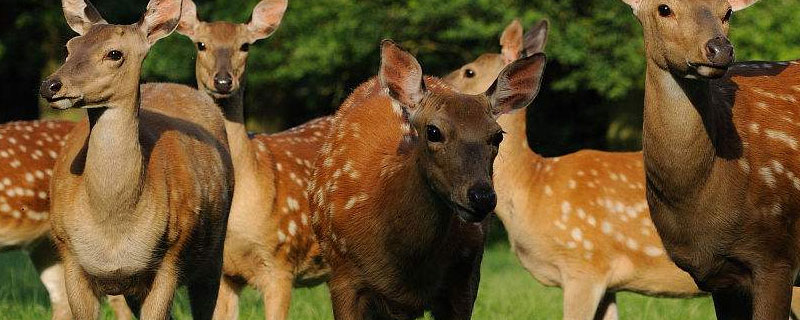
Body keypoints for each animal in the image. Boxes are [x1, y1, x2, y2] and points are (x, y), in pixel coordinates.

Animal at [39, 0, 233, 318]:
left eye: (114, 53)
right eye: (70, 46)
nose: (50, 85)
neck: (114, 232)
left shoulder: (171, 257)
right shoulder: (68, 253)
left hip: (215, 252)